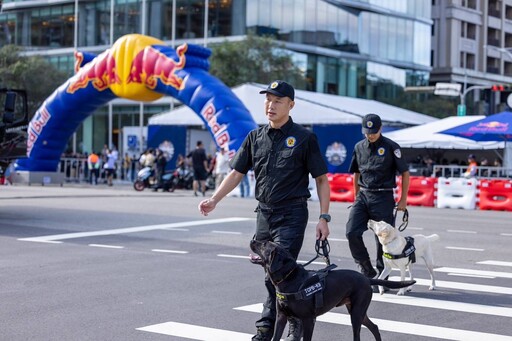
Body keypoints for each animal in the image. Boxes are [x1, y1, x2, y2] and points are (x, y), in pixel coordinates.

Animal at [251, 239, 416, 340]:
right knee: (374, 327)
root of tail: (365, 278)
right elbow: (276, 336)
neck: (289, 279)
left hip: (356, 312)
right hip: (356, 310)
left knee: (358, 335)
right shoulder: (281, 317)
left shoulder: (308, 320)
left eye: (264, 244)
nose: (253, 240)